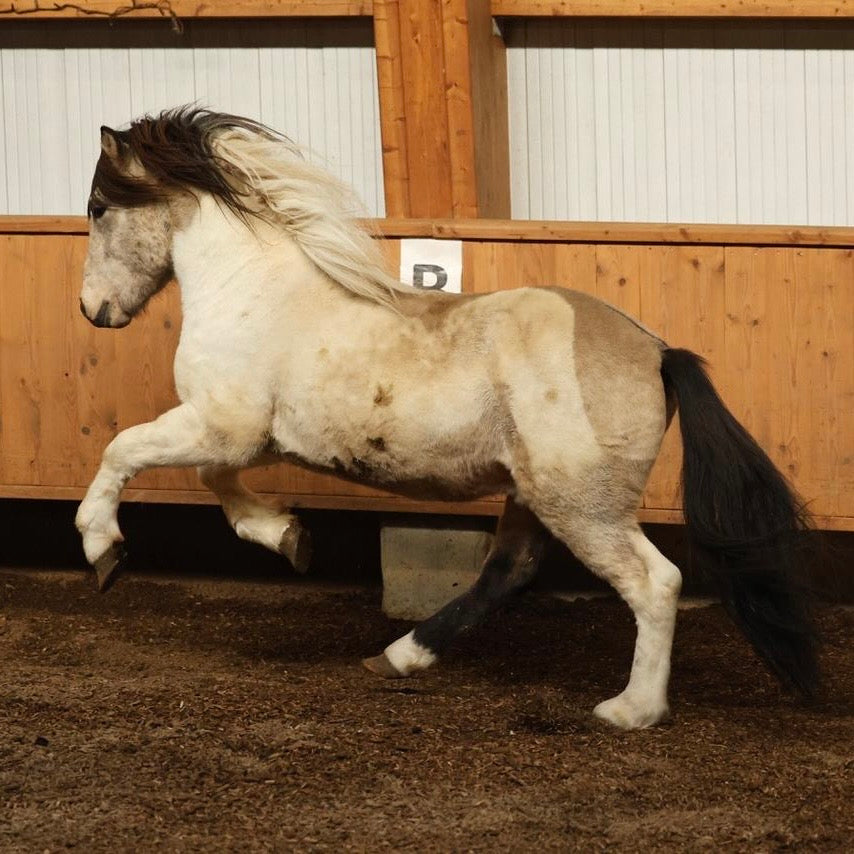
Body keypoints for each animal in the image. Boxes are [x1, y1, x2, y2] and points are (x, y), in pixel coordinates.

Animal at [77, 107, 818, 729]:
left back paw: (630, 710)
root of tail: (660, 352)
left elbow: (123, 450)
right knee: (509, 571)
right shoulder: (249, 440)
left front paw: (103, 550)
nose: (93, 310)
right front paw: (288, 536)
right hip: (531, 492)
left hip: (581, 501)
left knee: (653, 583)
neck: (254, 291)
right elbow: (214, 483)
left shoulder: (222, 425)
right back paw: (399, 656)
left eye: (97, 207)